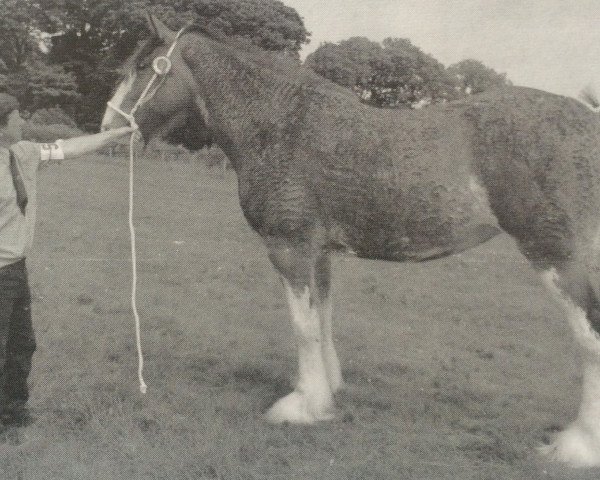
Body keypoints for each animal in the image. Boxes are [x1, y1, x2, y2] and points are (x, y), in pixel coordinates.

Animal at [101, 15, 600, 468]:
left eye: (144, 66)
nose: (106, 126)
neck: (282, 125)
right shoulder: (319, 252)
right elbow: (323, 320)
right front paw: (327, 393)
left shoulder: (289, 248)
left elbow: (302, 327)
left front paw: (300, 406)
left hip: (556, 255)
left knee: (589, 338)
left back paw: (577, 446)